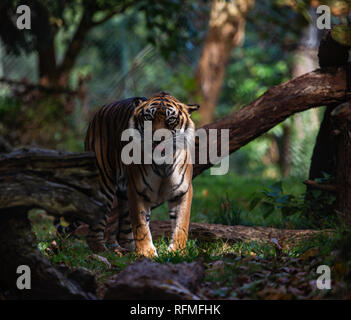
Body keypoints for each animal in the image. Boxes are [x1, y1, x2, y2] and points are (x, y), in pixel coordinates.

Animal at [83, 91, 199, 256]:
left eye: (171, 119)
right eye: (148, 117)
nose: (157, 139)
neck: (163, 164)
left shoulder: (182, 191)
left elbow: (181, 224)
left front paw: (178, 251)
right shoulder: (137, 190)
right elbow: (141, 226)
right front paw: (147, 253)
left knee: (123, 231)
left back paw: (126, 251)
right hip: (104, 181)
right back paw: (101, 251)